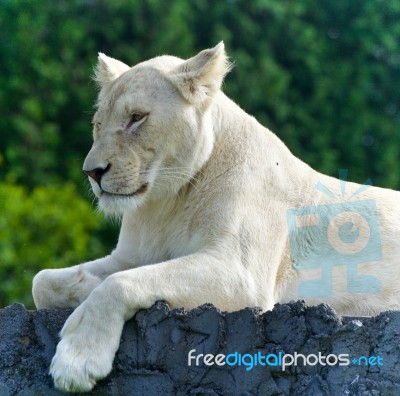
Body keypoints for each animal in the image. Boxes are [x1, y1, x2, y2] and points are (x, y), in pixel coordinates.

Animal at [32, 41, 400, 392]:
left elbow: (119, 283)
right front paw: (83, 289)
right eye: (97, 125)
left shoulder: (241, 274)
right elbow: (43, 280)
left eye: (136, 117)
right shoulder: (132, 255)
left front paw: (77, 362)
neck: (167, 203)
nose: (92, 172)